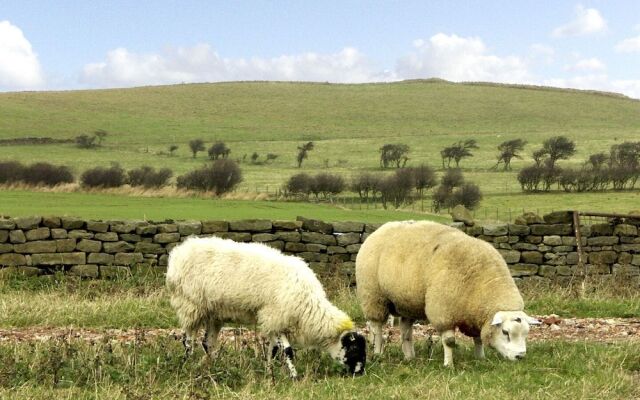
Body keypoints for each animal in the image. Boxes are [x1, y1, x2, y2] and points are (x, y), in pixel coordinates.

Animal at [166, 236, 364, 380]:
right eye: (354, 349)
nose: (360, 374)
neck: (307, 306)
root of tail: (180, 251)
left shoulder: (274, 320)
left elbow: (273, 349)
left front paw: (270, 373)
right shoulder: (276, 315)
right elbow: (287, 350)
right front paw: (294, 377)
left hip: (214, 313)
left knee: (208, 343)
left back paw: (213, 367)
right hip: (190, 304)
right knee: (188, 340)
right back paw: (188, 364)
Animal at [356, 220, 540, 368]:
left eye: (526, 333)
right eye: (505, 332)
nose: (520, 356)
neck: (481, 284)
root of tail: (382, 228)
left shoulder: (474, 315)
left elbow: (478, 338)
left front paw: (480, 358)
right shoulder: (443, 312)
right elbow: (449, 341)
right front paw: (448, 365)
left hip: (407, 301)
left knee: (405, 330)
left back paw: (409, 357)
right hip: (374, 297)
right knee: (377, 328)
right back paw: (378, 353)